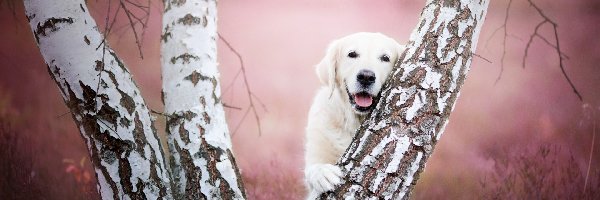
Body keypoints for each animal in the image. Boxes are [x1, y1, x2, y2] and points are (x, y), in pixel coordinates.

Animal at [302, 32, 406, 198]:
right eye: (352, 54)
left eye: (385, 58)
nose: (366, 77)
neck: (354, 121)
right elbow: (313, 167)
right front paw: (322, 172)